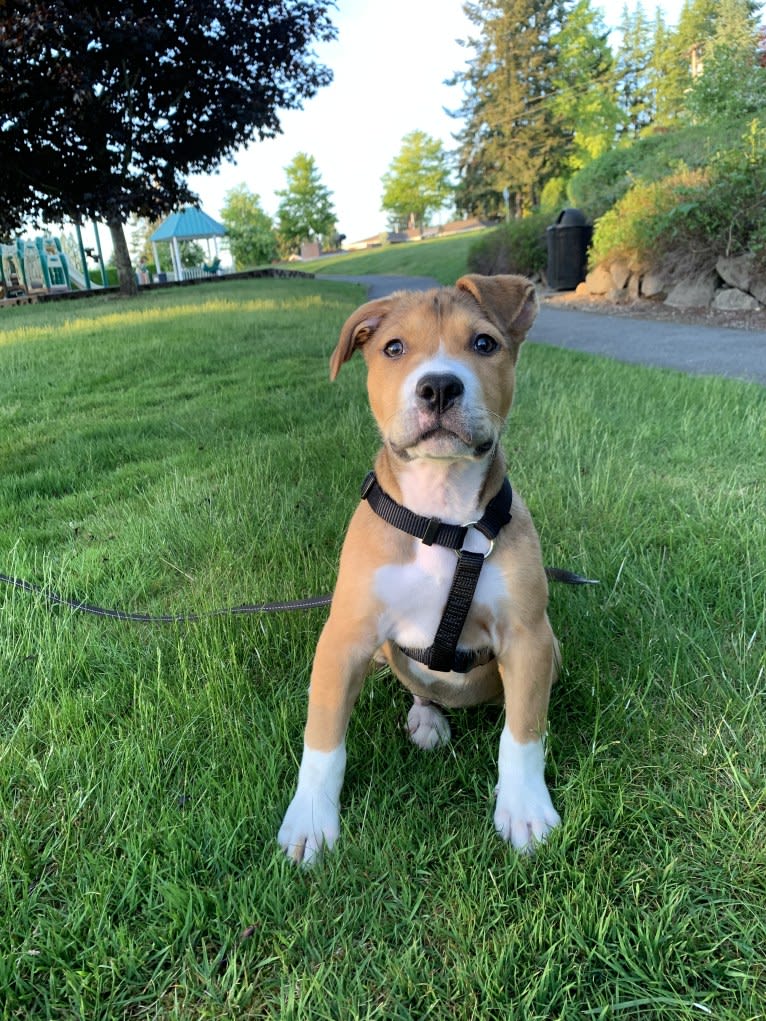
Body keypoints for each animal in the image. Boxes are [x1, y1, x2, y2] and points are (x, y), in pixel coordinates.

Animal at [279, 275, 559, 865]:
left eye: (484, 343)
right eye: (393, 348)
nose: (439, 387)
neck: (441, 514)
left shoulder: (529, 636)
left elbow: (522, 733)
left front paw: (524, 808)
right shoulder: (344, 638)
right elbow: (323, 738)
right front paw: (311, 819)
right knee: (419, 688)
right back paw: (427, 717)